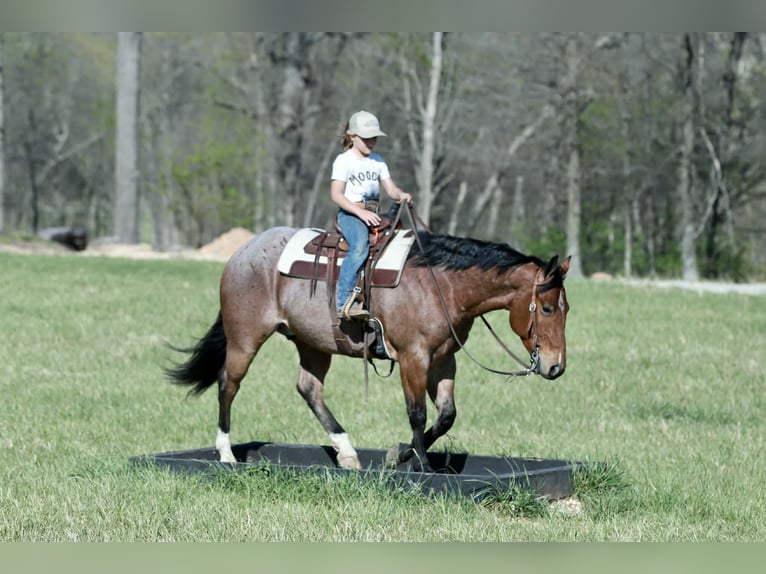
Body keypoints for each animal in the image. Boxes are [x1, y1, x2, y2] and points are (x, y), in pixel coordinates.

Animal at [166, 223, 571, 473]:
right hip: (245, 337)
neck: (442, 285)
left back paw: (346, 452)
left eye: (565, 308)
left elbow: (446, 415)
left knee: (309, 389)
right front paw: (422, 465)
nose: (556, 367)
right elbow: (417, 413)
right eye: (547, 308)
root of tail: (242, 252)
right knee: (228, 384)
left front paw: (401, 454)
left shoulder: (444, 361)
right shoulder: (412, 358)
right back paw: (226, 453)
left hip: (313, 343)